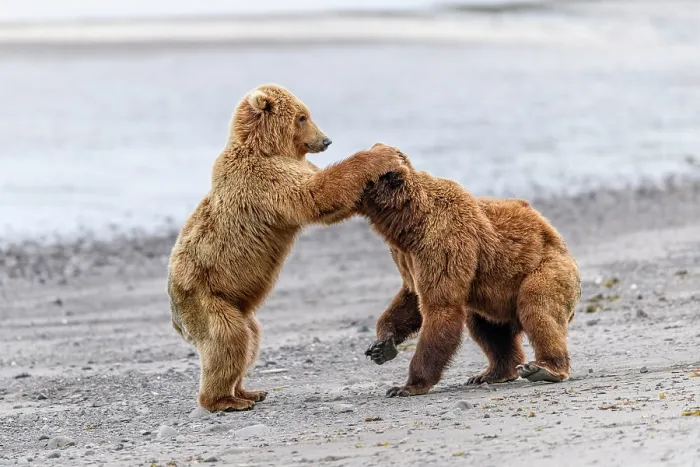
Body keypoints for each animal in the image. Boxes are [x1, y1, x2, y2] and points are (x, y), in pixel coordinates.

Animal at [167, 85, 406, 411]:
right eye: (303, 117)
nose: (326, 140)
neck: (266, 147)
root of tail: (175, 317)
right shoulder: (265, 178)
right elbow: (315, 193)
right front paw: (382, 154)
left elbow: (331, 201)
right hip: (205, 298)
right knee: (227, 339)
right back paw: (225, 400)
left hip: (236, 305)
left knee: (250, 340)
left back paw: (249, 391)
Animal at [360, 144, 581, 398]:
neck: (409, 227)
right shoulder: (406, 258)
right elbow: (411, 297)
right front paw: (381, 346)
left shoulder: (444, 241)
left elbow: (440, 307)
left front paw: (407, 386)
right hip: (497, 298)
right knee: (486, 327)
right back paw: (492, 372)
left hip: (547, 271)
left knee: (538, 307)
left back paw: (544, 368)